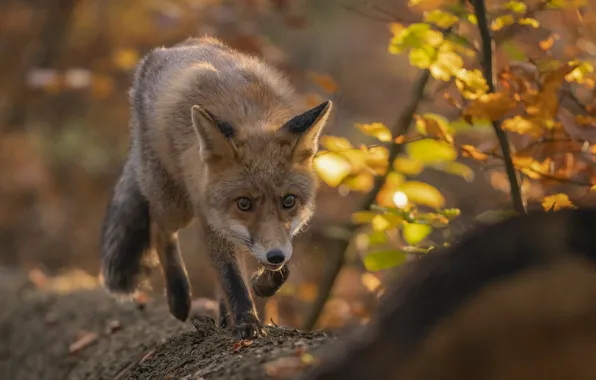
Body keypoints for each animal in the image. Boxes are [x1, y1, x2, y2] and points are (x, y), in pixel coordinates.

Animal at [98, 35, 330, 338]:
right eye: (244, 203)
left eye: (289, 200)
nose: (275, 255)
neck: (249, 115)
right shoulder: (212, 220)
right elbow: (232, 278)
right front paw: (246, 322)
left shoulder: (272, 235)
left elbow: (278, 269)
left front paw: (262, 285)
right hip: (175, 205)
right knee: (159, 230)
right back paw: (179, 297)